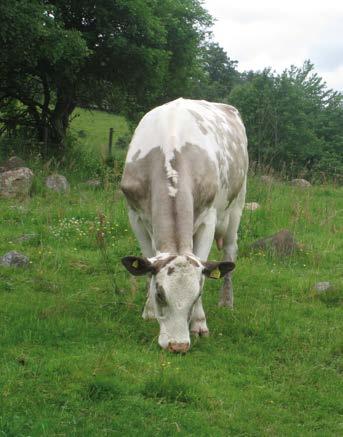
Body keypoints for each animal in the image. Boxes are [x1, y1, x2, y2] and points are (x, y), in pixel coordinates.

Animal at [122, 98, 249, 350]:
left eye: (197, 295)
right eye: (160, 294)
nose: (178, 345)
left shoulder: (209, 217)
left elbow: (204, 267)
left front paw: (199, 323)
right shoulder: (135, 215)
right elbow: (147, 260)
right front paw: (149, 311)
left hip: (237, 204)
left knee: (230, 251)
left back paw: (226, 301)